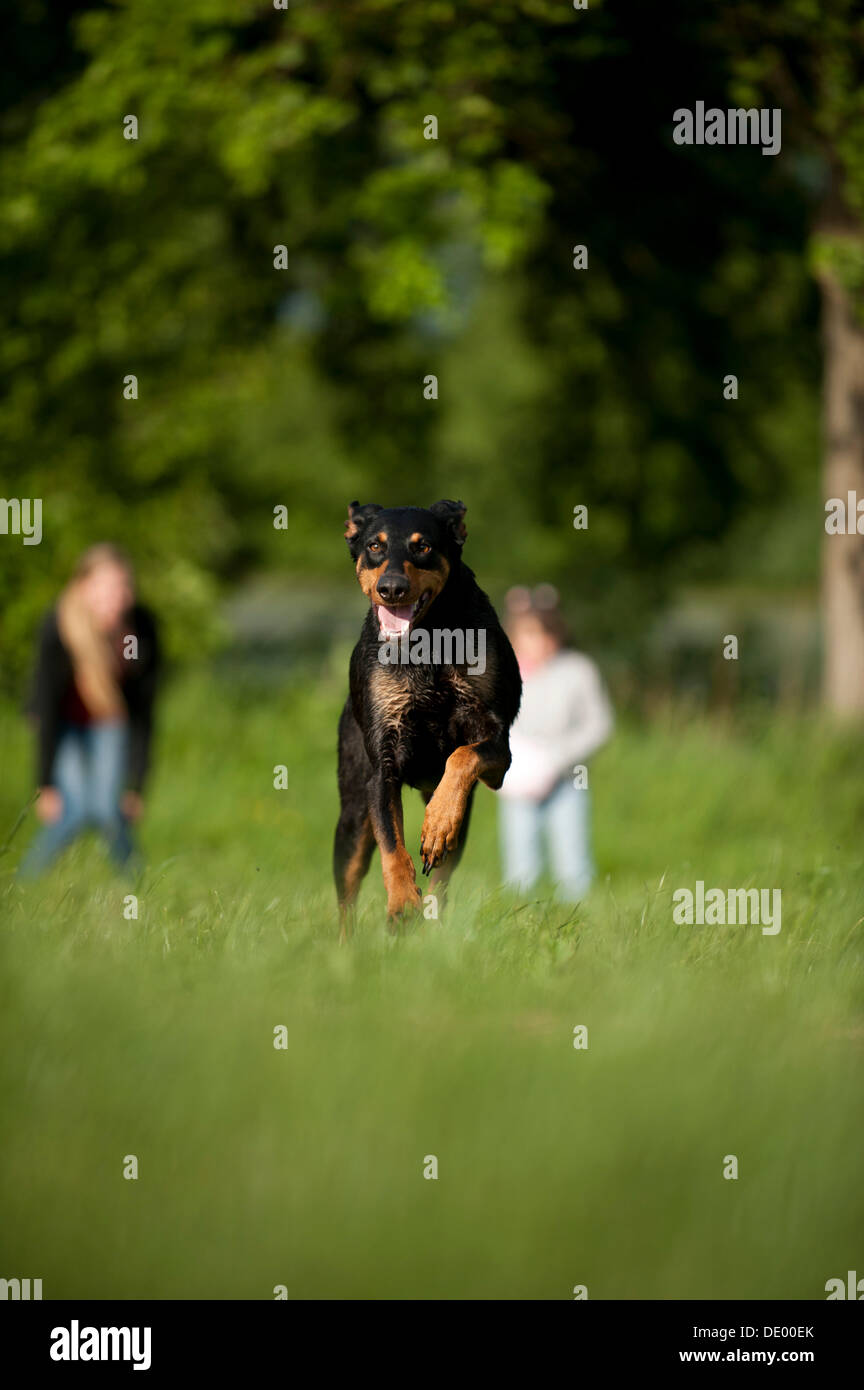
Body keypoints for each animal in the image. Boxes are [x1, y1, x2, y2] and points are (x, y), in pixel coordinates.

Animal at [333, 500, 522, 922]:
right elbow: (392, 843)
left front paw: (436, 824)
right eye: (374, 546)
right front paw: (402, 902)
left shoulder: (498, 752)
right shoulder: (382, 767)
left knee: (443, 878)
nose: (391, 588)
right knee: (347, 900)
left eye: (423, 547)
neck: (427, 641)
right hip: (352, 818)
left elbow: (462, 756)